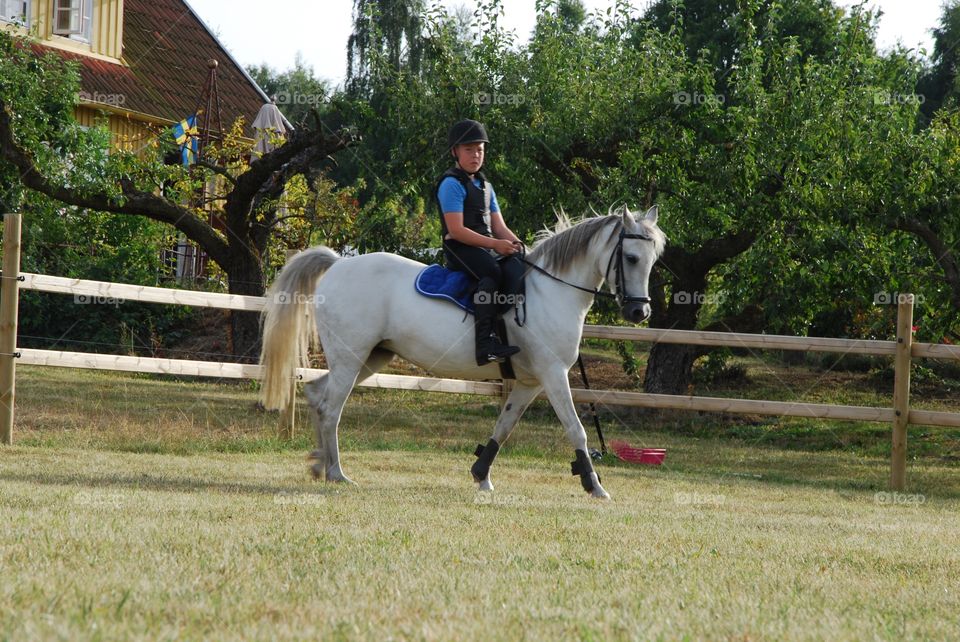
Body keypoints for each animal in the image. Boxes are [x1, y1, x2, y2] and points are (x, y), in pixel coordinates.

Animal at [262, 204, 668, 496]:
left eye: (652, 260)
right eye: (630, 258)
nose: (640, 312)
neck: (551, 291)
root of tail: (339, 264)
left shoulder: (530, 382)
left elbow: (504, 426)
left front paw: (481, 475)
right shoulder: (553, 375)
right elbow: (576, 429)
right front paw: (594, 484)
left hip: (371, 356)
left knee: (317, 394)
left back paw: (318, 463)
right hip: (351, 358)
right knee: (331, 408)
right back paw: (336, 473)